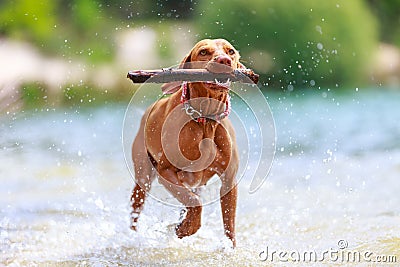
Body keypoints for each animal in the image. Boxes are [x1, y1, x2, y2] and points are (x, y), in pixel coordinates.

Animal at [130, 38, 245, 248]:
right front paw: (187, 228)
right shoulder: (165, 172)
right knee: (135, 212)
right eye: (203, 52)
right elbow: (195, 203)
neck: (205, 119)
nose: (224, 61)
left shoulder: (228, 180)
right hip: (143, 178)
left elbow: (229, 225)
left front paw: (229, 249)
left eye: (230, 51)